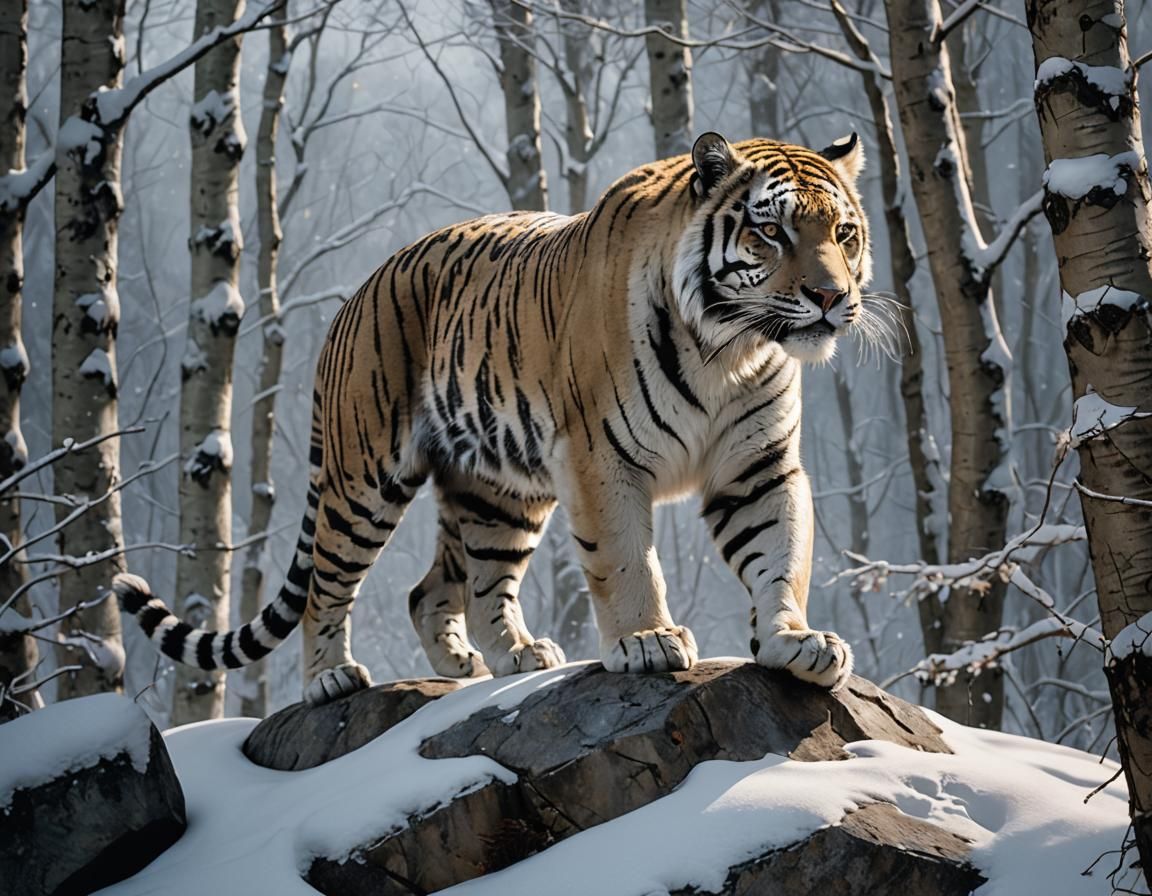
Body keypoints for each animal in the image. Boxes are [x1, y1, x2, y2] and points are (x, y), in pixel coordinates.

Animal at [115, 131, 873, 706]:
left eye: (843, 233)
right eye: (770, 231)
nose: (830, 296)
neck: (731, 348)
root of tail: (354, 295)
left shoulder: (758, 468)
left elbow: (781, 555)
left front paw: (795, 642)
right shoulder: (603, 459)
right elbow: (627, 559)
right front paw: (647, 641)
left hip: (499, 491)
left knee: (445, 590)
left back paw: (499, 660)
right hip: (364, 480)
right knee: (327, 582)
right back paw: (330, 678)